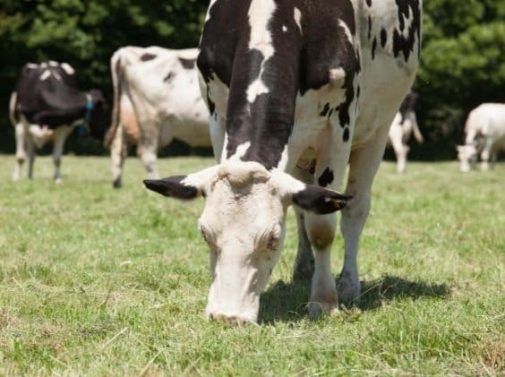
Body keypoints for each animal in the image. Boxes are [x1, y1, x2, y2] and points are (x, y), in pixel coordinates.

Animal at [105, 47, 210, 188]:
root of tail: (126, 51)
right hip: (149, 118)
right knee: (146, 154)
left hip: (127, 112)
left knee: (118, 147)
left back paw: (118, 183)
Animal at [143, 0, 422, 324]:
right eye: (205, 233)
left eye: (273, 239)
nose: (227, 316)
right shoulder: (217, 114)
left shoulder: (338, 125)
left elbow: (323, 226)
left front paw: (324, 300)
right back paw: (304, 269)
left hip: (379, 127)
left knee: (355, 208)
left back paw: (349, 284)